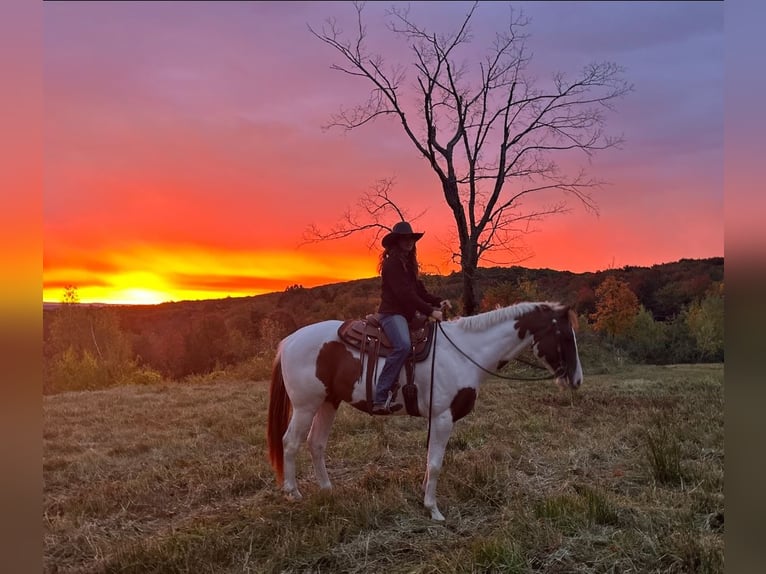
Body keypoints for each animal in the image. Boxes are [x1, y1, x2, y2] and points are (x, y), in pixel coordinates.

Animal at [268, 302, 584, 520]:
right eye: (565, 336)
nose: (577, 379)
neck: (463, 352)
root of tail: (288, 341)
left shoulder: (436, 418)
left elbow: (429, 460)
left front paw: (424, 495)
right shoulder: (443, 418)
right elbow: (435, 463)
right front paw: (433, 510)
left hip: (328, 402)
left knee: (316, 443)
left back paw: (327, 489)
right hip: (305, 406)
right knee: (290, 443)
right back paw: (293, 493)